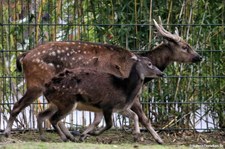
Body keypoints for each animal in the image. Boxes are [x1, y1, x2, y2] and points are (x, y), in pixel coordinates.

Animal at [3, 17, 201, 144]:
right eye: (184, 47)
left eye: (189, 44)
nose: (199, 57)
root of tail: (23, 56)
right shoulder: (128, 94)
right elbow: (143, 117)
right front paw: (154, 138)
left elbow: (99, 118)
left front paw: (84, 134)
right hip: (37, 83)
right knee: (18, 106)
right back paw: (7, 133)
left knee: (53, 114)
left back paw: (69, 136)